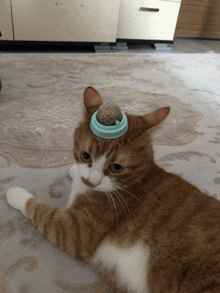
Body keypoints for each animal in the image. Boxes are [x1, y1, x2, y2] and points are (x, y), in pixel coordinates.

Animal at [5, 86, 220, 292]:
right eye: (85, 155)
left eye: (116, 167)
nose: (93, 180)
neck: (132, 183)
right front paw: (76, 171)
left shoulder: (73, 230)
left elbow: (41, 210)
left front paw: (15, 193)